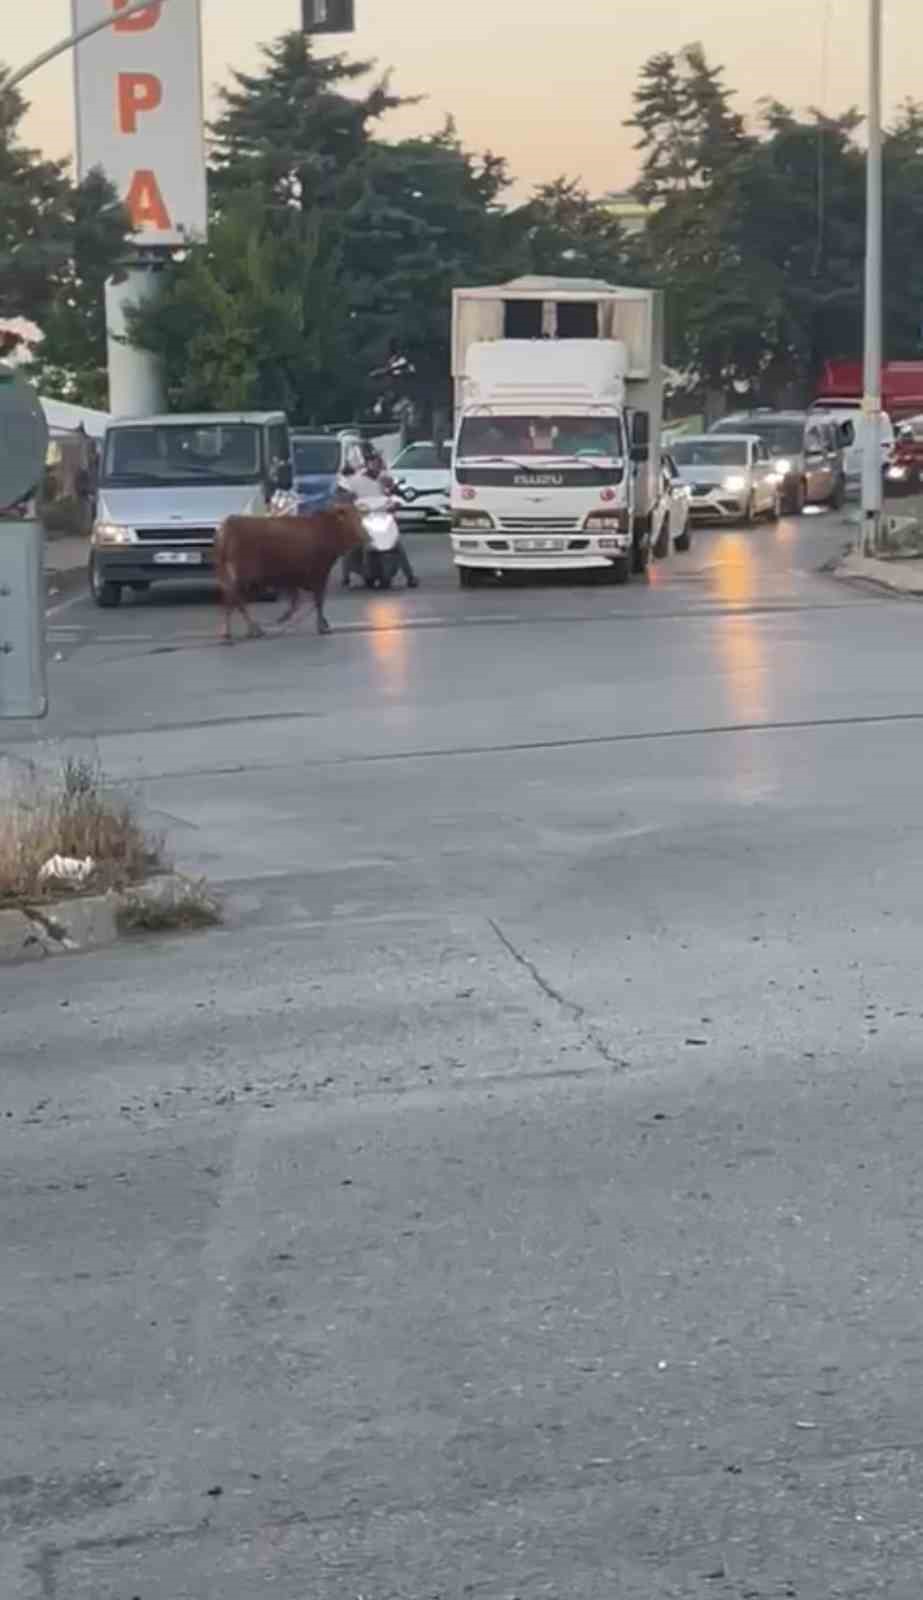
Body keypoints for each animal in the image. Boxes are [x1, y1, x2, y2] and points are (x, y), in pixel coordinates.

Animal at [214, 505, 361, 643]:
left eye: (359, 518)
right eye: (351, 518)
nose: (362, 536)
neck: (326, 527)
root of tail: (228, 525)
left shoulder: (296, 578)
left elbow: (300, 601)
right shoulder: (320, 572)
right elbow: (318, 601)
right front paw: (322, 626)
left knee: (233, 598)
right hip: (243, 576)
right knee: (234, 599)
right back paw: (240, 631)